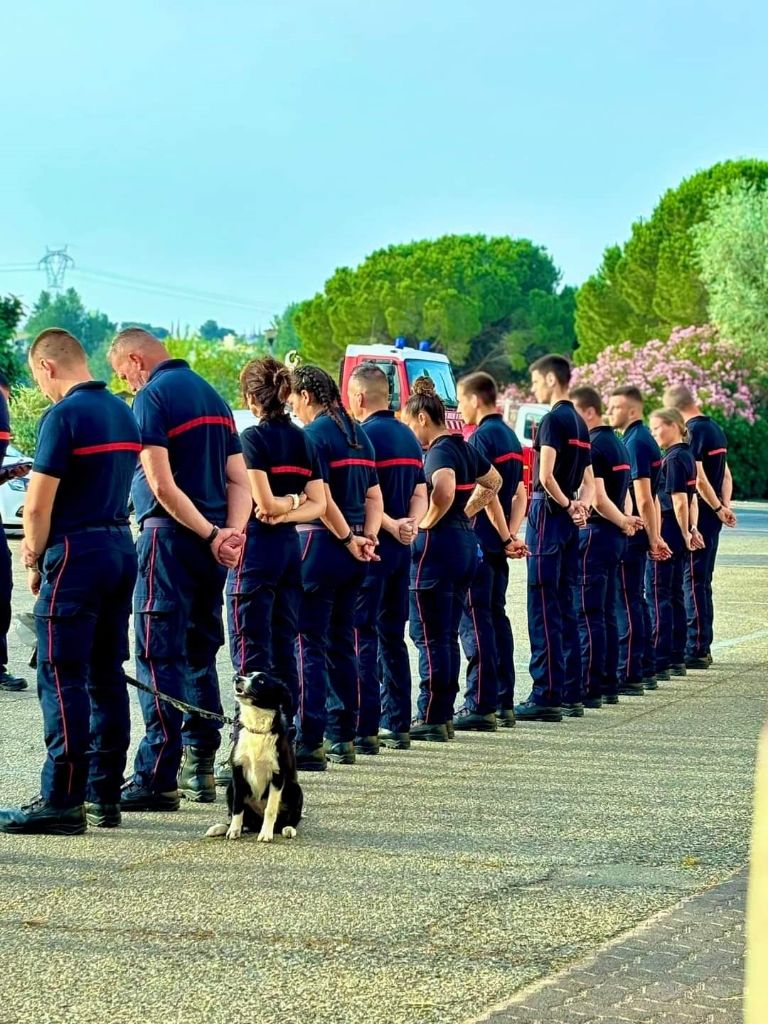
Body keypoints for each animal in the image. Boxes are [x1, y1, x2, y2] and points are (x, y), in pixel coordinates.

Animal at [205, 667, 305, 843]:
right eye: (247, 675)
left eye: (261, 681)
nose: (237, 678)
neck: (257, 728)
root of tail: (256, 823)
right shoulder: (238, 774)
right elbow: (237, 808)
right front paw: (233, 830)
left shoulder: (277, 776)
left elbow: (270, 809)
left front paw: (266, 834)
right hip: (230, 788)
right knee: (243, 819)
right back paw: (222, 828)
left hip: (295, 789)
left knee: (289, 819)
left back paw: (287, 829)